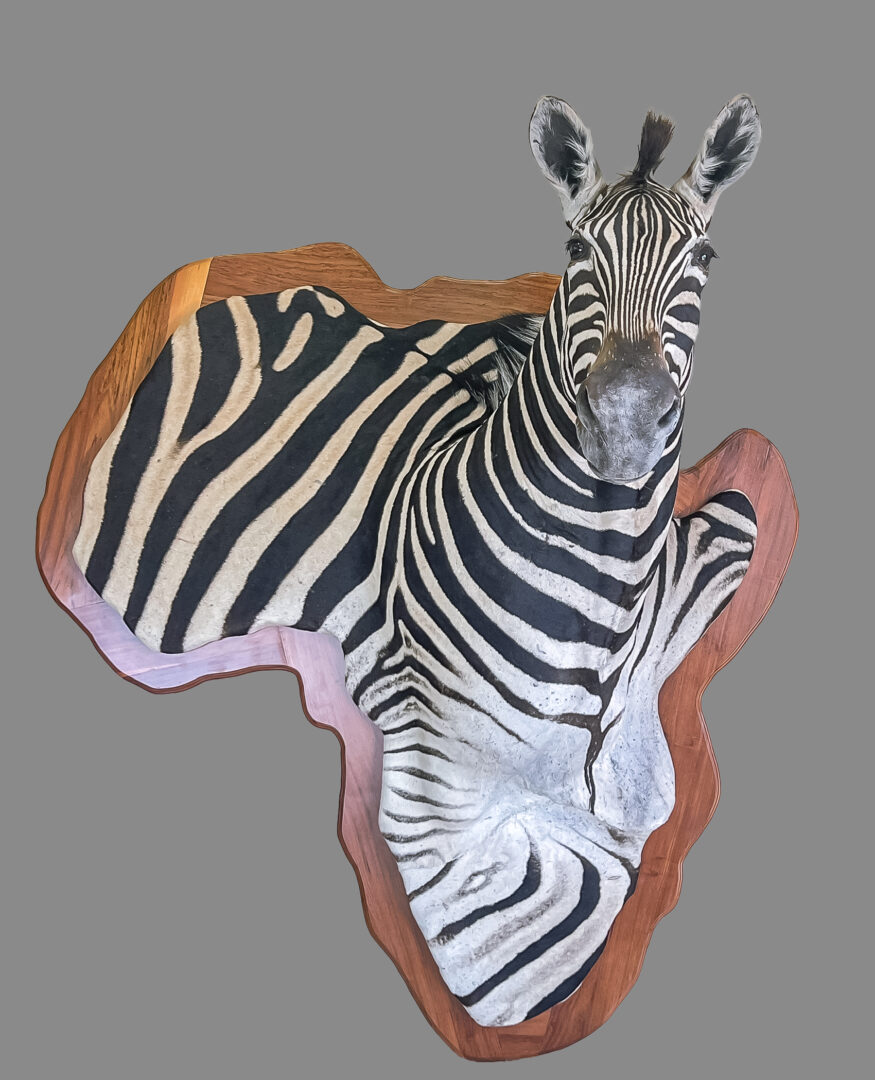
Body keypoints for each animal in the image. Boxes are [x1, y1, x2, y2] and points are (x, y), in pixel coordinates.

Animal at [73, 94, 761, 1026]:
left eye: (704, 257)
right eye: (576, 251)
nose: (623, 426)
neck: (600, 613)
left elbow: (730, 538)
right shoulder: (443, 817)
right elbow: (566, 920)